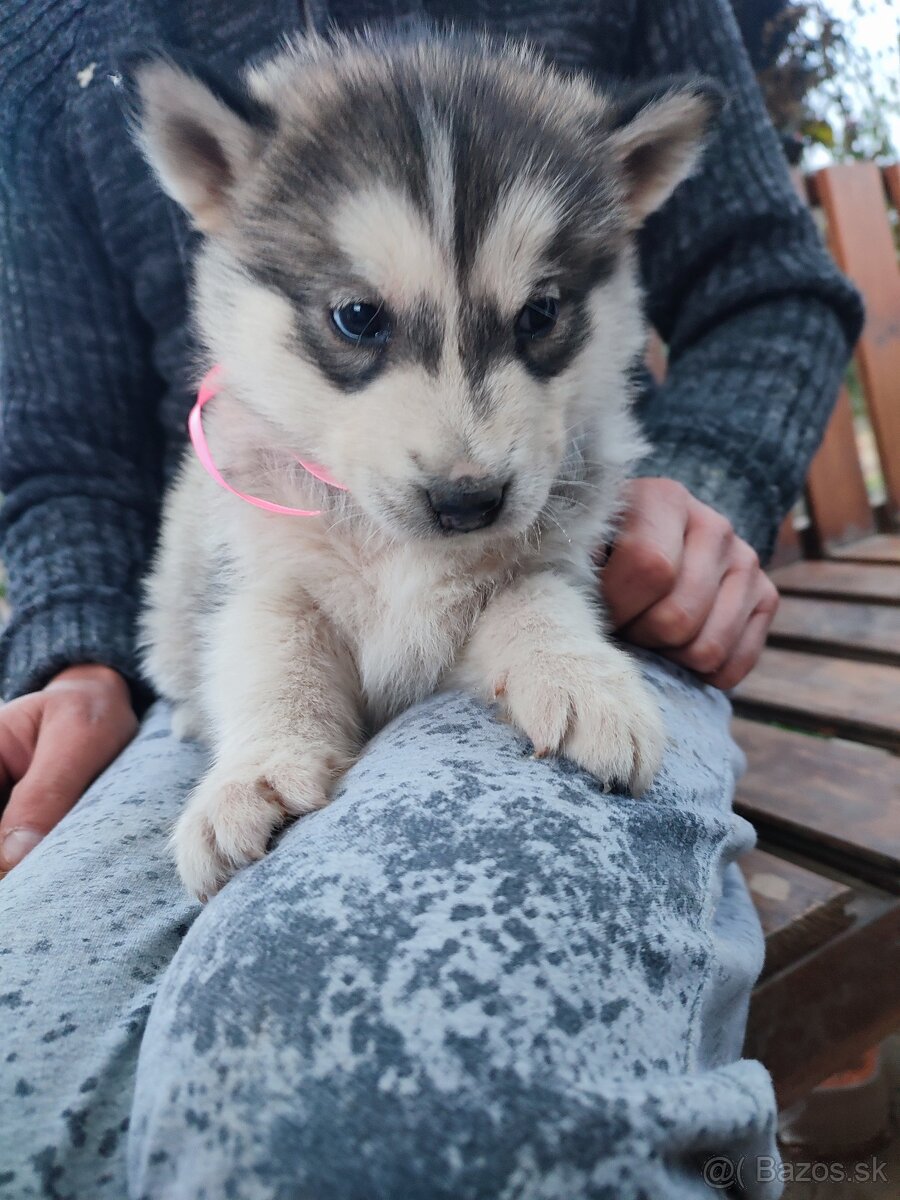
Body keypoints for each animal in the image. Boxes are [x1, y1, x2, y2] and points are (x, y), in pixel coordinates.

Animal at [133, 30, 724, 902]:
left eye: (541, 313)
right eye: (356, 316)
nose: (468, 502)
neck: (402, 556)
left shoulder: (523, 575)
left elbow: (532, 599)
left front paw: (582, 678)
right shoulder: (259, 567)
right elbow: (273, 649)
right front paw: (258, 773)